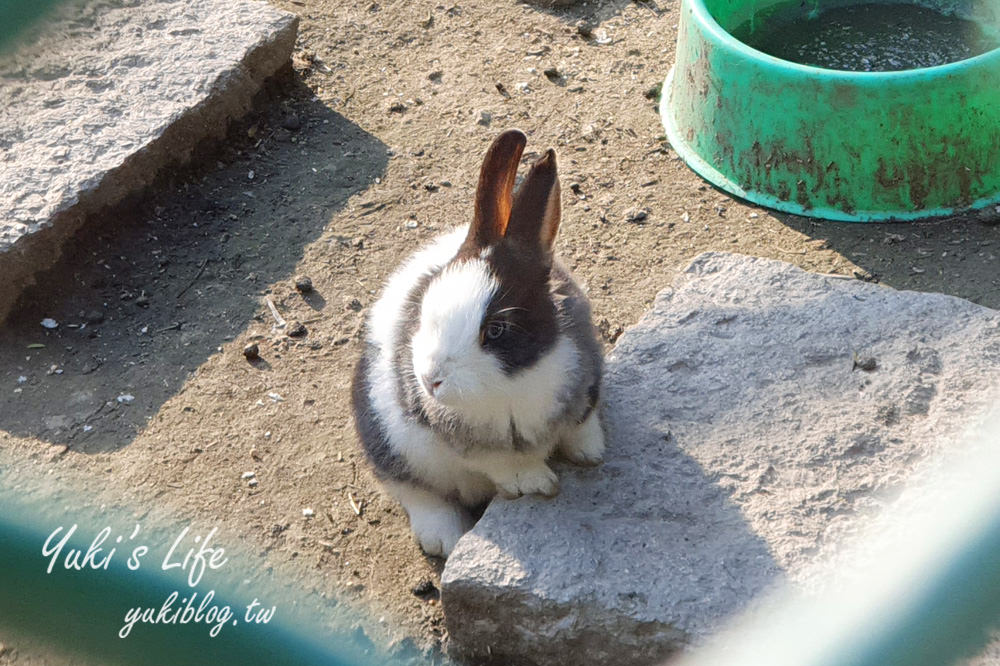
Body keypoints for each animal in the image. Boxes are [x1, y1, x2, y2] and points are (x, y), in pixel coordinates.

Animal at [352, 130, 600, 556]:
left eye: (496, 331)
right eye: (424, 310)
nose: (429, 381)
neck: (515, 383)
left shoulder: (587, 386)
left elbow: (582, 425)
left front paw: (591, 453)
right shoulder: (470, 446)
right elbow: (503, 465)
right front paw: (537, 483)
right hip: (388, 445)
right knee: (414, 491)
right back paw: (445, 538)